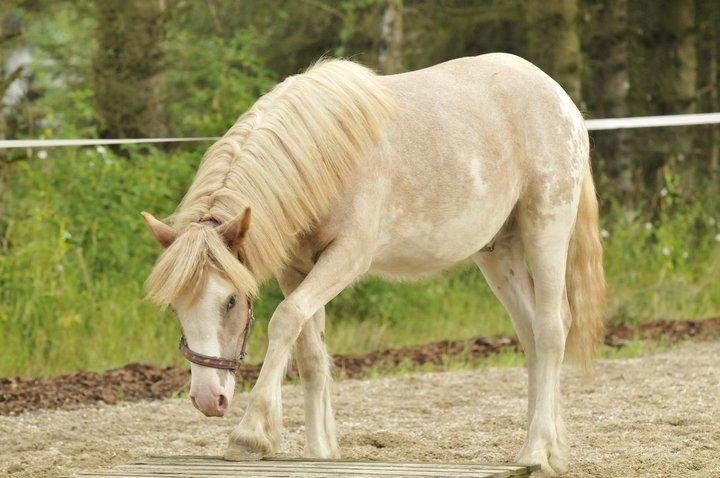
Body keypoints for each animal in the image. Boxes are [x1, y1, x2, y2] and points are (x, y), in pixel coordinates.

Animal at [143, 54, 604, 476]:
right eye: (176, 307)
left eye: (231, 302)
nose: (208, 399)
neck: (324, 155)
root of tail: (561, 99)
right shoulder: (296, 268)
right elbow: (311, 353)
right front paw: (320, 453)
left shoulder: (347, 255)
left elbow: (285, 320)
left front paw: (250, 435)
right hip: (497, 250)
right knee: (530, 334)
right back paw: (550, 451)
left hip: (546, 225)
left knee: (550, 329)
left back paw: (535, 453)